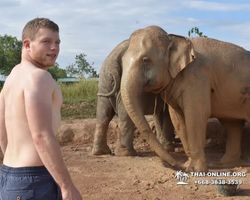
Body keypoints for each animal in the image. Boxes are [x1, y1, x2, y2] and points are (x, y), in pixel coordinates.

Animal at [120, 25, 250, 172]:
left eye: (145, 60)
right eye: (122, 60)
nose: (178, 165)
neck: (173, 38)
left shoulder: (197, 77)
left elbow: (196, 115)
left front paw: (196, 170)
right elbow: (178, 118)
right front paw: (188, 166)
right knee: (233, 125)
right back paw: (224, 164)